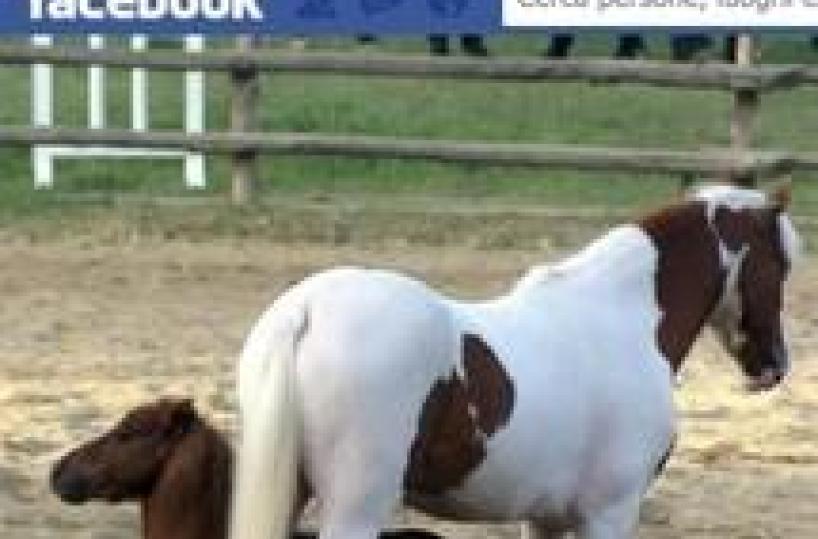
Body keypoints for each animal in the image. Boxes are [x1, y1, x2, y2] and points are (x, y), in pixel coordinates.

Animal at [229, 184, 801, 539]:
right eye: (782, 265)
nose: (774, 365)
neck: (622, 318)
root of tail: (306, 308)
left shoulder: (545, 518)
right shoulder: (610, 514)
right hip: (355, 508)